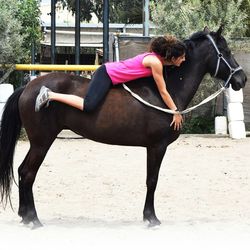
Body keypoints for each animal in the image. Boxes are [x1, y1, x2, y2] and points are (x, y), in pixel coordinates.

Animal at [0, 26, 246, 228]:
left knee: (22, 171)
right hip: (42, 142)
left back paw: (25, 216)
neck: (165, 92)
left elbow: (151, 180)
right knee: (28, 173)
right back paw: (33, 220)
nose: (241, 79)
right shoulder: (157, 147)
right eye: (225, 50)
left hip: (38, 143)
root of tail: (29, 88)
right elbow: (152, 181)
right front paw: (151, 218)